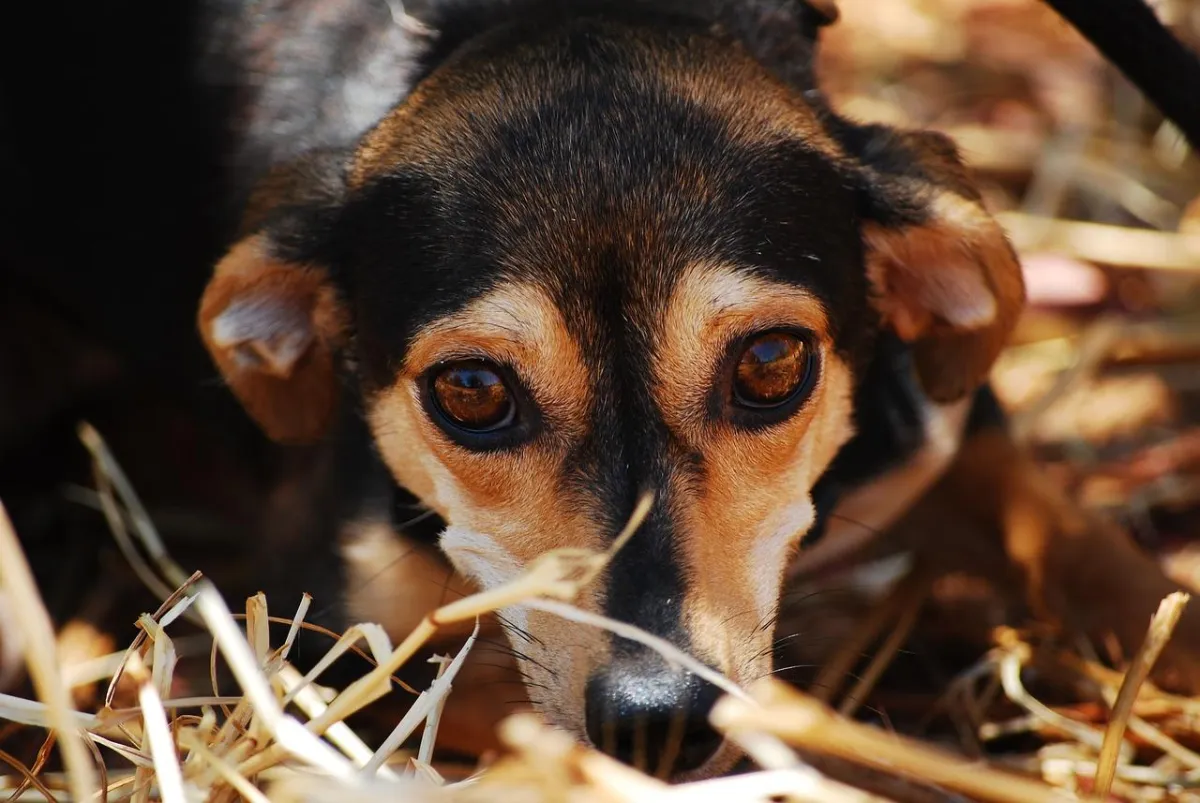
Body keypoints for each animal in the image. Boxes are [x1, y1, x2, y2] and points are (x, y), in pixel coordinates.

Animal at [126, 0, 1200, 782]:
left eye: (770, 363)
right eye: (469, 389)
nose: (660, 721)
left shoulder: (960, 444)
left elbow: (1124, 575)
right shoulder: (322, 642)